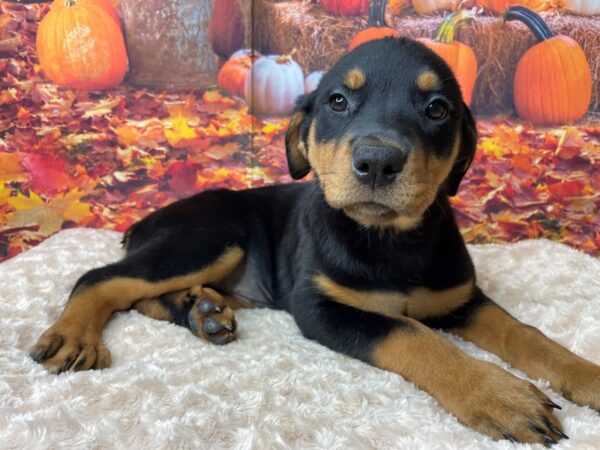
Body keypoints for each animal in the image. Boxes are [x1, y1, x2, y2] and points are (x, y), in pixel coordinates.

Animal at [30, 37, 596, 442]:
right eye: (338, 101)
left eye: (437, 108)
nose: (377, 162)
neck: (388, 239)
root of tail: (147, 221)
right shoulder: (321, 306)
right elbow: (414, 335)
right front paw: (499, 396)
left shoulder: (459, 298)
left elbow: (525, 333)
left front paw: (585, 373)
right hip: (211, 237)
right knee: (103, 278)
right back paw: (76, 336)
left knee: (142, 295)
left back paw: (201, 312)